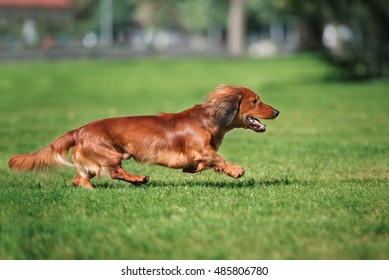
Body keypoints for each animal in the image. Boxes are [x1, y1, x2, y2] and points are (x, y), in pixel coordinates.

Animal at [9, 84, 278, 189]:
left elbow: (203, 164)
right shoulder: (201, 150)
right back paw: (139, 179)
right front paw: (236, 170)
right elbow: (217, 159)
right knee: (115, 172)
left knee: (80, 179)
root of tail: (80, 130)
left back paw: (91, 189)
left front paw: (193, 169)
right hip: (111, 154)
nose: (277, 111)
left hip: (93, 163)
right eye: (255, 101)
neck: (208, 119)